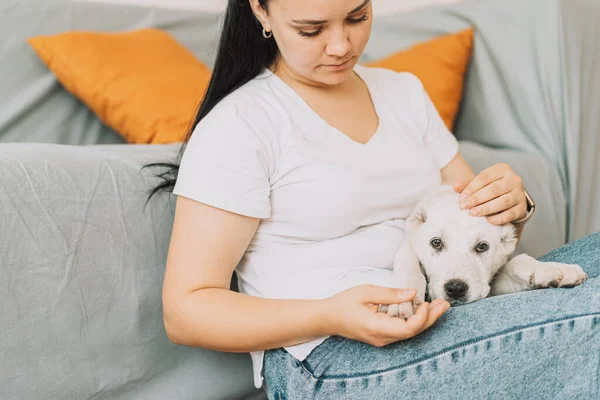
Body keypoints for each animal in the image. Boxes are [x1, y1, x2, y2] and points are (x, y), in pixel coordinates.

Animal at [382, 185, 588, 318]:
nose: (455, 289)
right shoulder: (409, 244)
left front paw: (551, 269)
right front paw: (403, 299)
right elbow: (407, 261)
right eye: (436, 243)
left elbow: (519, 261)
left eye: (482, 246)